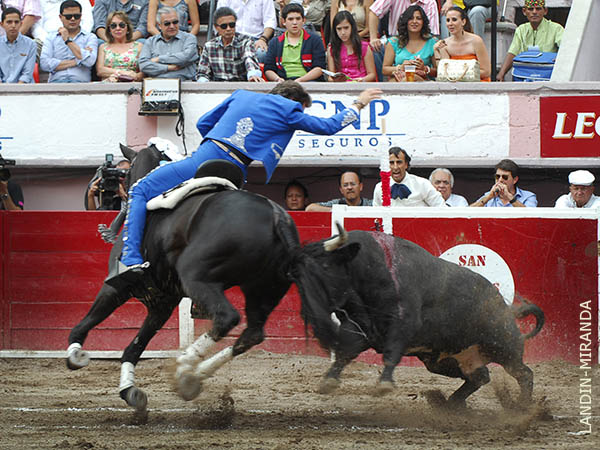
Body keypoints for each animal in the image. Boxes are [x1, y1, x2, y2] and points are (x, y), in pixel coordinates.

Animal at [66, 144, 300, 412]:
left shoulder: (116, 288)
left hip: (197, 276)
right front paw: (130, 391)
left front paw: (75, 355)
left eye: (124, 173)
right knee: (252, 333)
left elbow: (86, 323)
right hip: (263, 289)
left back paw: (185, 365)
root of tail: (276, 215)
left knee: (227, 317)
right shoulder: (163, 303)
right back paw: (192, 377)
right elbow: (134, 347)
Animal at [290, 224, 545, 409]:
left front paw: (384, 384)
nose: (311, 315)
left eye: (324, 267)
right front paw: (328, 380)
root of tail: (506, 308)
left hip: (505, 349)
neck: (369, 269)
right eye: (297, 276)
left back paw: (523, 407)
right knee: (480, 376)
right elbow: (345, 352)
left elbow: (391, 352)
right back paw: (450, 404)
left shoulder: (403, 325)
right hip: (444, 360)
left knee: (524, 374)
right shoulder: (358, 328)